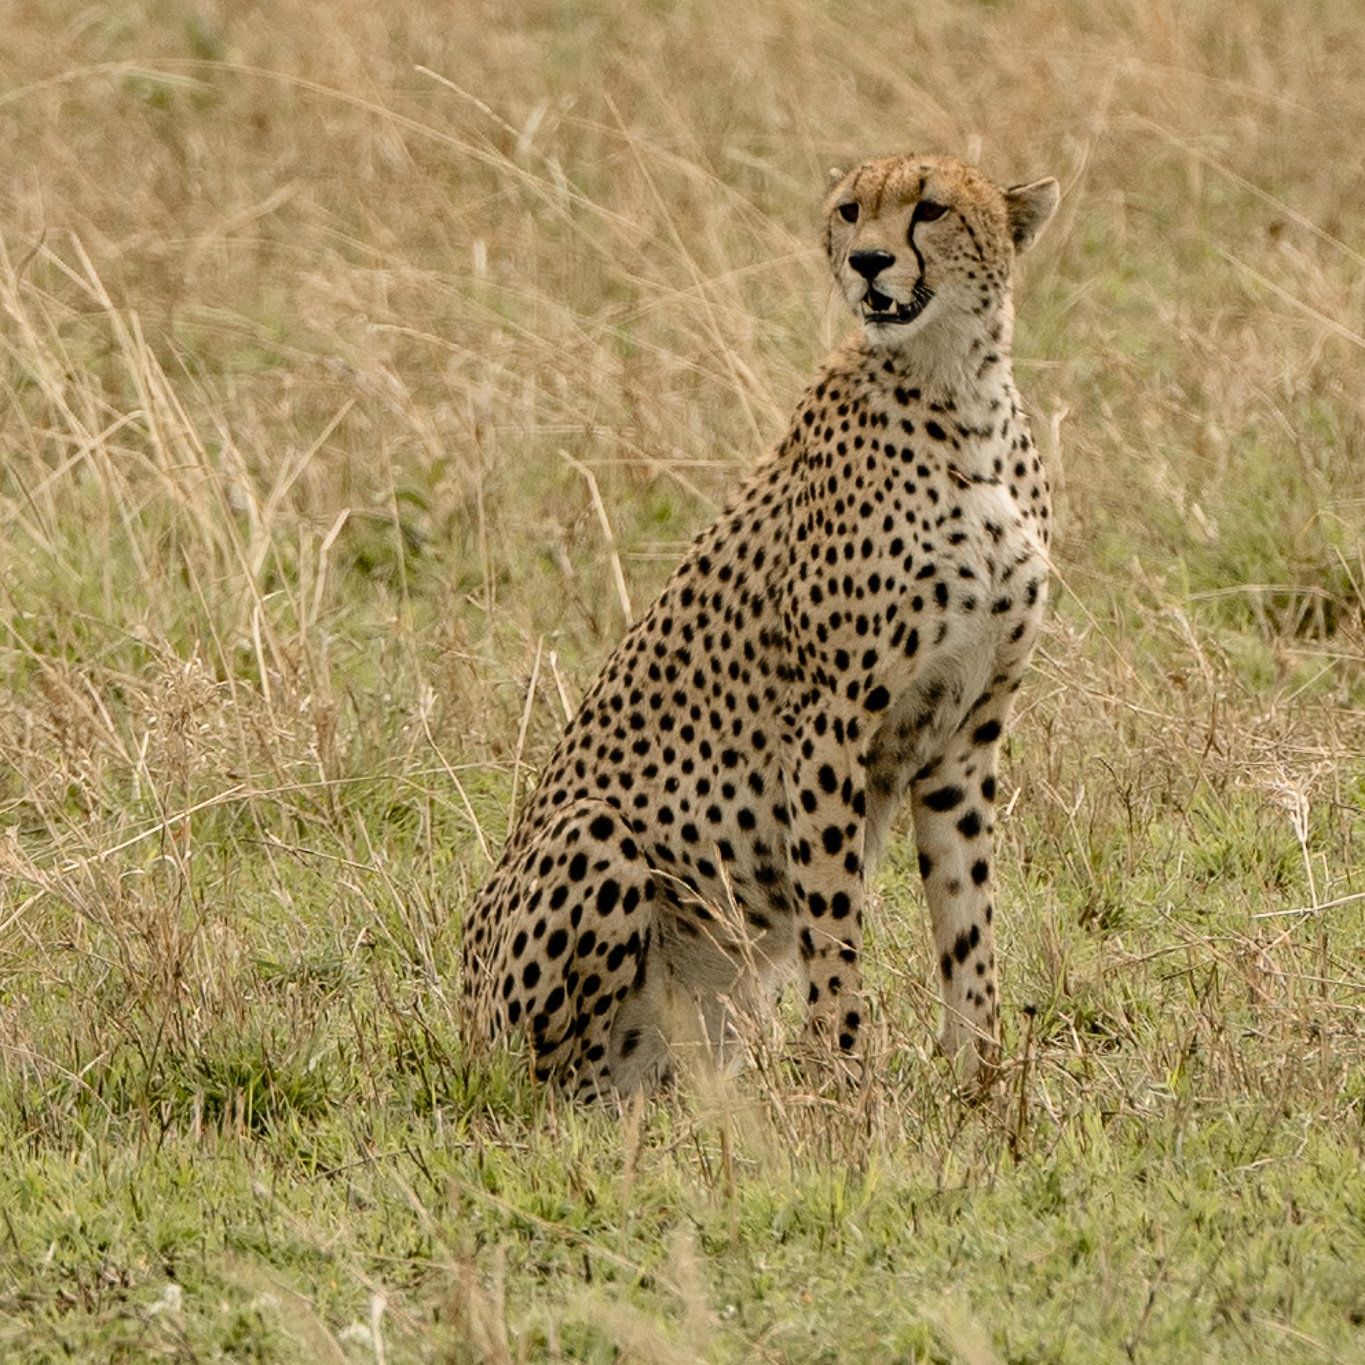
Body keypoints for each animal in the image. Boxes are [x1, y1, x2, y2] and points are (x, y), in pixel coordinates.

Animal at [460, 152, 1060, 1101]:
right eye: (850, 210)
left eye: (928, 209)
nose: (867, 262)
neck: (953, 391)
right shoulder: (826, 722)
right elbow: (835, 920)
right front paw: (845, 1083)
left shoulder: (965, 732)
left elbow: (967, 921)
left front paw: (980, 1079)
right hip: (593, 839)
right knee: (550, 1082)